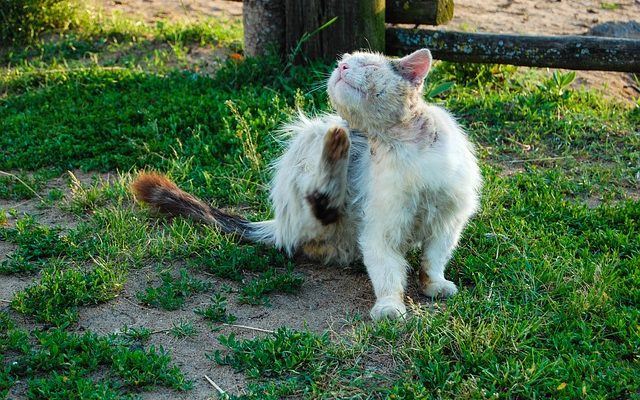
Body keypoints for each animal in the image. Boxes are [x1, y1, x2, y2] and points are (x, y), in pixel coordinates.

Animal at [132, 48, 482, 320]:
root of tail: (279, 224)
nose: (341, 67)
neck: (400, 144)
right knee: (318, 202)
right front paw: (389, 306)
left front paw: (434, 284)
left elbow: (433, 259)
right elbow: (387, 272)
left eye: (367, 65)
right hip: (312, 135)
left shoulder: (448, 221)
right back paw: (336, 147)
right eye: (344, 61)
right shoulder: (380, 229)